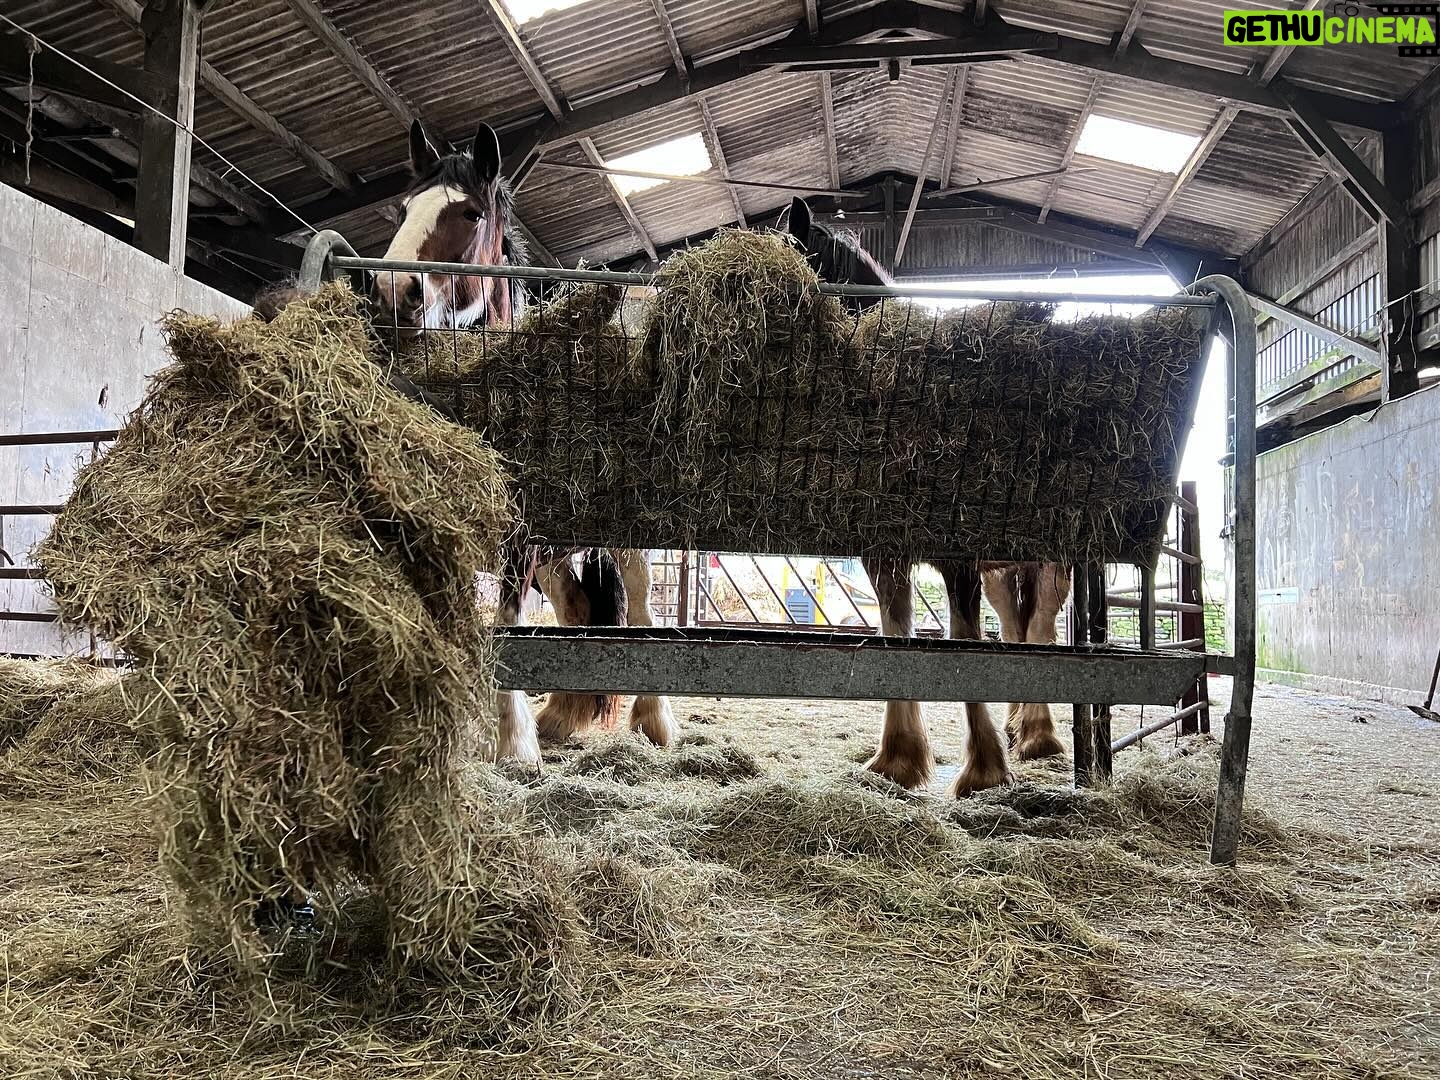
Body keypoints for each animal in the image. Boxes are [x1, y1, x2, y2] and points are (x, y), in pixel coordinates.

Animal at [373, 120, 677, 764]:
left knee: (639, 597)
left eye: (469, 212)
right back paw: (563, 714)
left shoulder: (523, 540)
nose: (390, 291)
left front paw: (511, 740)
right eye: (405, 208)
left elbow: (507, 624)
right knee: (577, 606)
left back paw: (651, 718)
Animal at [785, 197, 1069, 795]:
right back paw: (1019, 727)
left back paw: (1037, 736)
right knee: (1018, 629)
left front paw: (984, 769)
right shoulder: (885, 556)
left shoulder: (958, 560)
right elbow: (898, 634)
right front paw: (898, 759)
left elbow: (964, 643)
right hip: (1002, 571)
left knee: (1041, 625)